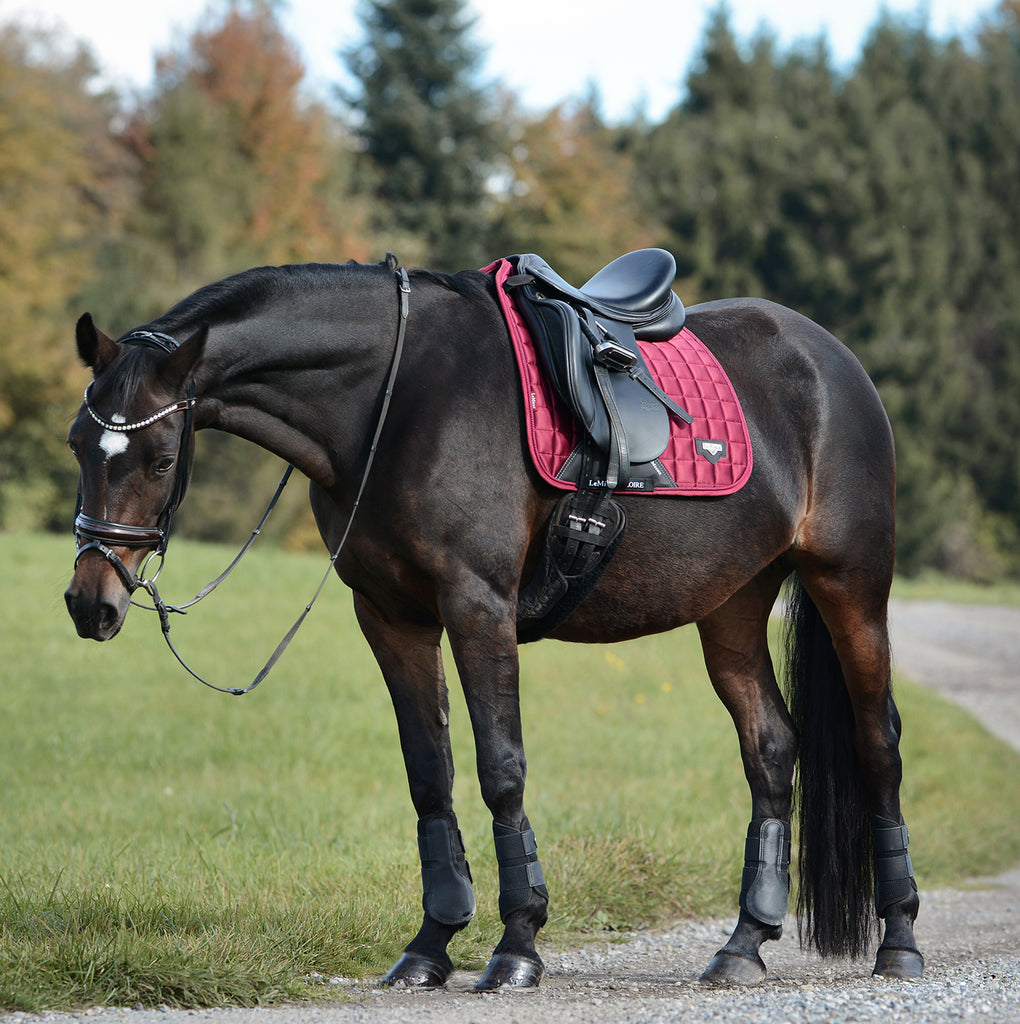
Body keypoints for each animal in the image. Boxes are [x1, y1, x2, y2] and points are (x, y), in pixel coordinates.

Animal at [63, 256, 925, 991]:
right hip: (734, 606)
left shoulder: (479, 606)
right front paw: (430, 944)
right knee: (771, 749)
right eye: (77, 444)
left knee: (877, 744)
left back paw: (900, 939)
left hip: (850, 584)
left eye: (161, 459)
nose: (89, 602)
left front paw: (517, 945)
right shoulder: (391, 616)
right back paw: (744, 944)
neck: (396, 400)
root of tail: (830, 358)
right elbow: (429, 772)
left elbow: (500, 768)